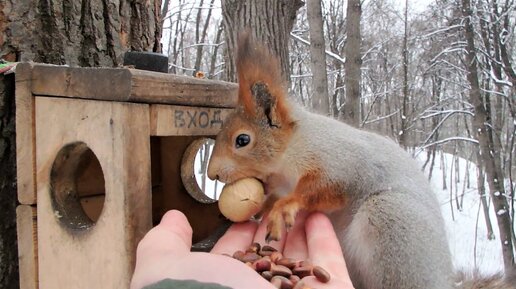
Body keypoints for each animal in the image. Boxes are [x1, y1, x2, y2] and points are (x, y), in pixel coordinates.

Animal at [207, 32, 516, 286]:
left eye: (242, 140)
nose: (212, 174)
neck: (288, 155)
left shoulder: (339, 161)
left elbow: (323, 189)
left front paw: (283, 209)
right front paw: (265, 206)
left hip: (392, 221)